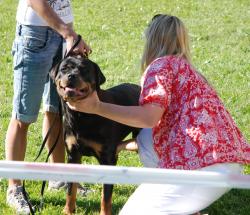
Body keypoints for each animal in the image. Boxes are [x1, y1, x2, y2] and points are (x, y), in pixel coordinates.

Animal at [50, 55, 141, 215]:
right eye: (64, 69)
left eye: (85, 70)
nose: (71, 76)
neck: (81, 116)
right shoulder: (73, 155)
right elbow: (70, 189)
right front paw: (68, 210)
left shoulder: (108, 159)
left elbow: (106, 196)